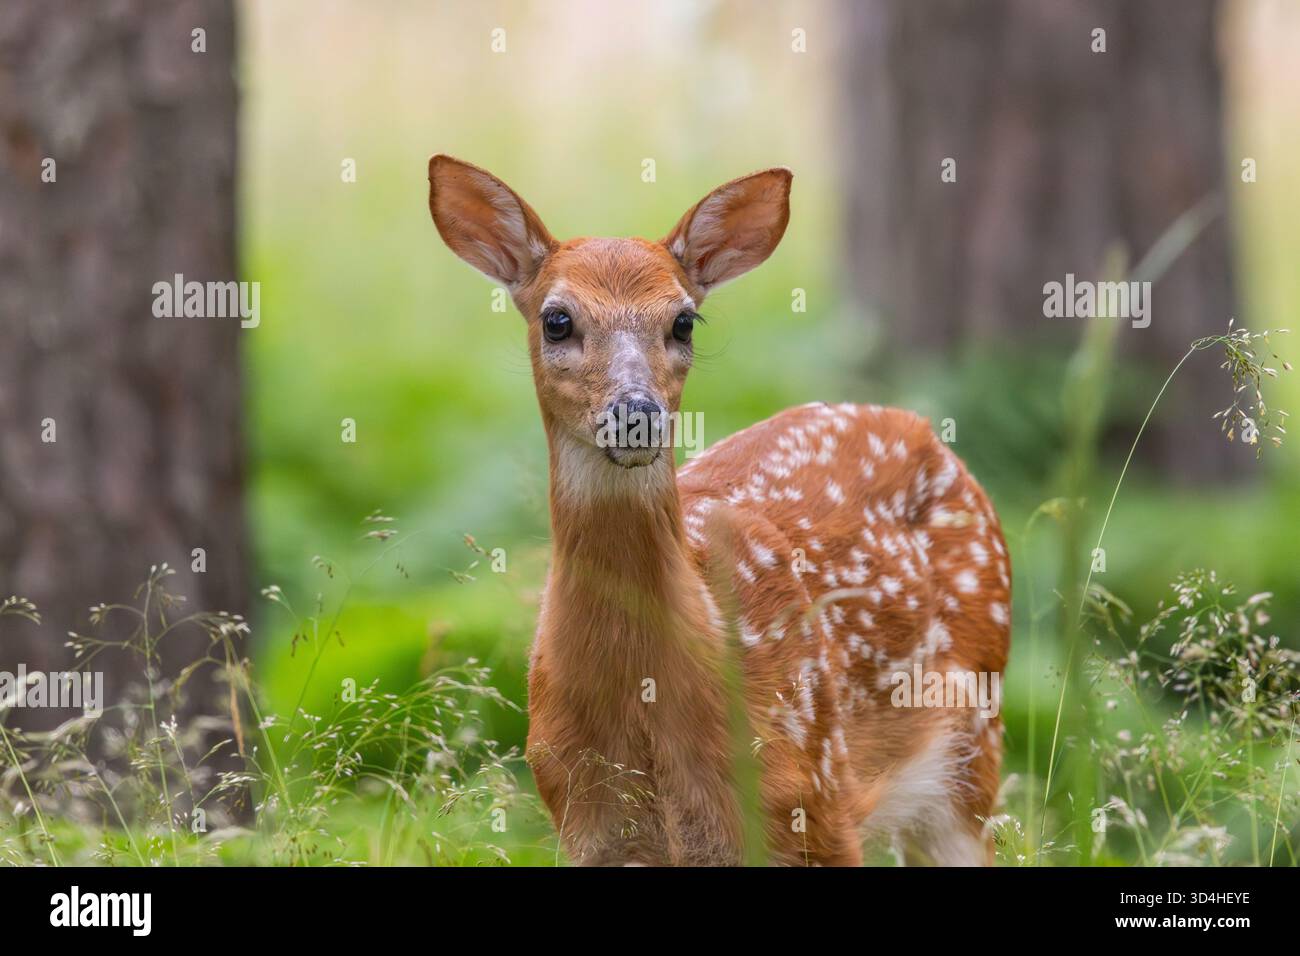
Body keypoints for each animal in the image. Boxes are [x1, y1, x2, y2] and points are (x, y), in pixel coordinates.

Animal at [427, 155, 1011, 866]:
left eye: (683, 321)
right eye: (556, 319)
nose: (637, 414)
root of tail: (919, 426)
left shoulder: (814, 803)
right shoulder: (585, 821)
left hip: (971, 744)